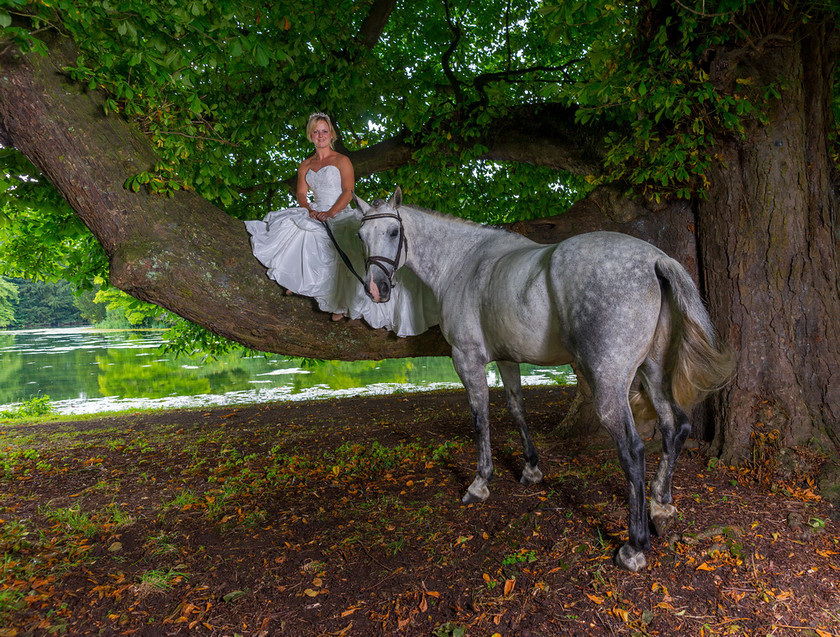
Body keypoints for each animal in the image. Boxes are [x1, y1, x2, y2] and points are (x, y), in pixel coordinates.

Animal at [352, 186, 732, 568]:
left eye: (394, 232)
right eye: (360, 235)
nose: (376, 288)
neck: (463, 262)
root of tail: (655, 259)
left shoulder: (468, 359)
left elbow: (481, 419)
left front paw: (480, 483)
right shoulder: (507, 360)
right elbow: (516, 410)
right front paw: (531, 469)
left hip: (610, 386)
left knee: (634, 450)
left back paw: (634, 546)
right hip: (653, 372)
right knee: (674, 427)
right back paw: (661, 506)